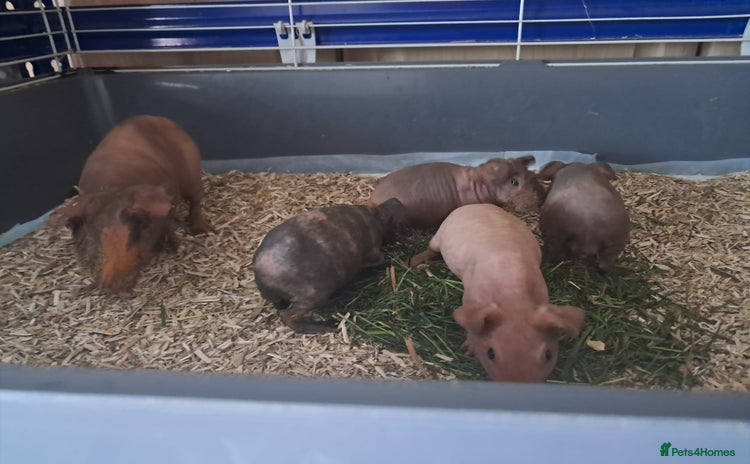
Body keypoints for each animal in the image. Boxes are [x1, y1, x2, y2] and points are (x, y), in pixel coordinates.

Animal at [49, 115, 209, 293]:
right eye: (88, 240)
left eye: (134, 233)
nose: (111, 286)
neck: (111, 190)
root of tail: (159, 118)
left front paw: (174, 247)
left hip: (192, 175)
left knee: (196, 201)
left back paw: (201, 231)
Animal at [252, 199, 408, 333]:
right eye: (392, 220)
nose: (396, 200)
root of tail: (260, 277)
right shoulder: (372, 250)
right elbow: (381, 258)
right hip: (313, 294)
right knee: (287, 316)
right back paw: (330, 325)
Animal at [409, 204, 584, 383]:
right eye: (491, 353)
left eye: (548, 354)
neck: (514, 297)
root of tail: (475, 204)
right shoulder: (470, 297)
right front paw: (466, 350)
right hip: (440, 234)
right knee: (431, 248)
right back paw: (413, 262)